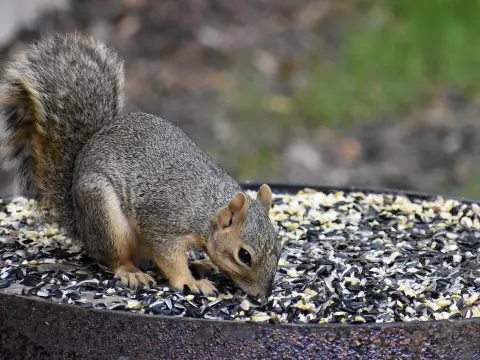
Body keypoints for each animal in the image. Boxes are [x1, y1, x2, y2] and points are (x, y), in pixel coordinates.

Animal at [0, 33, 282, 298]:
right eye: (244, 255)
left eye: (279, 249)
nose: (262, 296)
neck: (206, 209)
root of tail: (82, 227)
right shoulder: (163, 225)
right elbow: (169, 258)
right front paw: (189, 282)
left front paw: (197, 269)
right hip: (105, 215)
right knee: (115, 258)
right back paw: (131, 272)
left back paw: (199, 264)